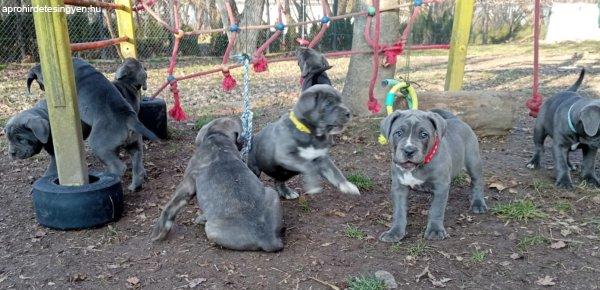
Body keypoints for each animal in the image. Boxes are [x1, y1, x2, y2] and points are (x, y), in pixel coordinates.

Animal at [26, 58, 157, 190]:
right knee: (137, 164)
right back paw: (134, 186)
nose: (42, 88)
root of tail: (128, 118)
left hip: (98, 145)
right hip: (134, 144)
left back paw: (108, 177)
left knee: (119, 167)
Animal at [154, 117, 288, 251]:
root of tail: (267, 238)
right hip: (271, 193)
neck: (217, 136)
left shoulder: (187, 184)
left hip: (211, 230)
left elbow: (170, 206)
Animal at [380, 107, 488, 241]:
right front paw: (394, 232)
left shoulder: (441, 186)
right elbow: (399, 211)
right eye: (398, 133)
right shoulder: (399, 187)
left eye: (423, 134)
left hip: (473, 160)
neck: (417, 167)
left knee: (477, 181)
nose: (409, 150)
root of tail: (456, 119)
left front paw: (435, 230)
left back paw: (478, 204)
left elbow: (436, 209)